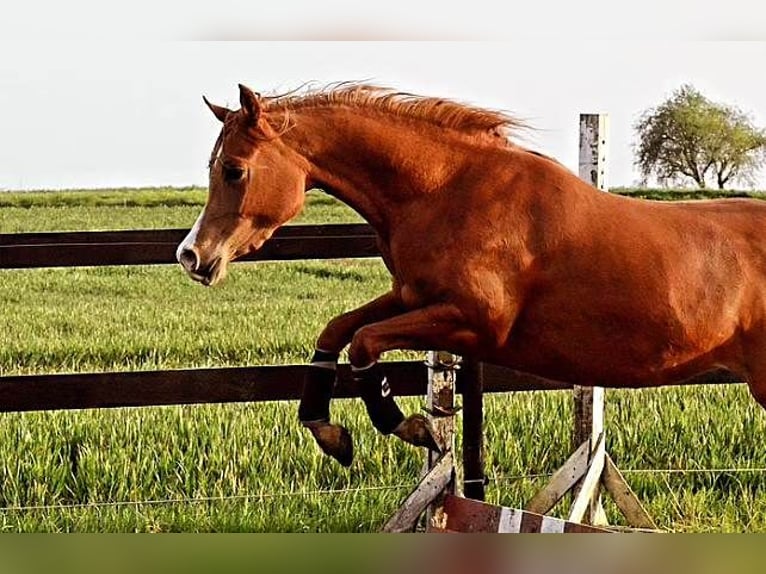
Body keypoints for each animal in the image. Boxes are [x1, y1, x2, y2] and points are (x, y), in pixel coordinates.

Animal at [177, 82, 766, 468]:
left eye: (233, 170)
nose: (192, 256)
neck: (448, 190)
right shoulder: (412, 296)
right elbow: (339, 329)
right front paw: (329, 431)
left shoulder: (476, 323)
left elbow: (365, 342)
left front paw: (411, 428)